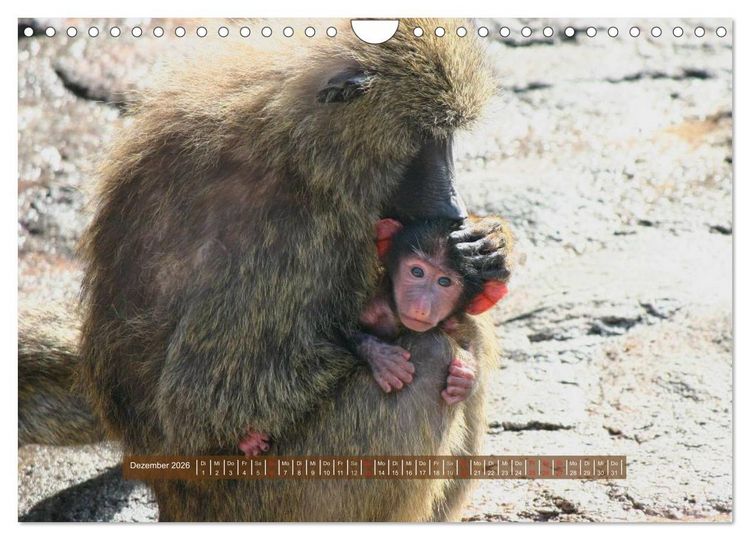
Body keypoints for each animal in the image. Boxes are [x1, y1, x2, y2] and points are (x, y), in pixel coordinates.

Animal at [19, 19, 514, 521]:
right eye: (428, 139)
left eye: (447, 137)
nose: (456, 211)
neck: (300, 147)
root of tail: (171, 497)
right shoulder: (280, 231)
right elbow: (206, 403)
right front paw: (375, 350)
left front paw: (489, 247)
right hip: (270, 497)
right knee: (431, 354)